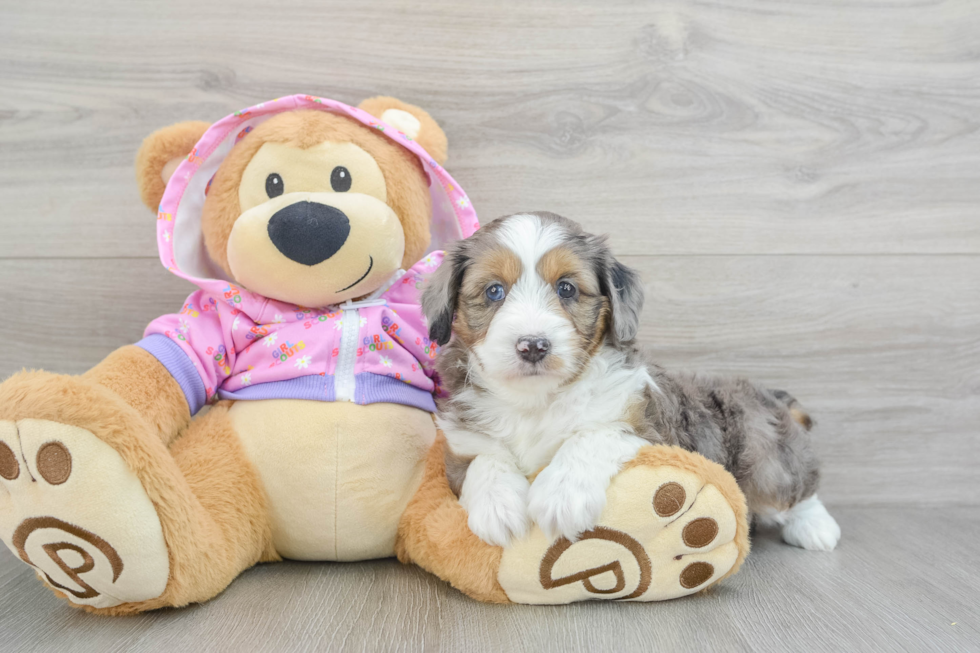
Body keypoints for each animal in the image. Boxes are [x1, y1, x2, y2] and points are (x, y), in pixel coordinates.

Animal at [422, 213, 844, 552]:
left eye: (566, 288)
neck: (536, 401)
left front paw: (562, 494)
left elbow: (592, 434)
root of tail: (768, 395)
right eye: (494, 291)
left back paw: (816, 529)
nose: (533, 346)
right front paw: (497, 506)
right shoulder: (460, 439)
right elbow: (483, 457)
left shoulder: (650, 431)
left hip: (766, 455)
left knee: (797, 488)